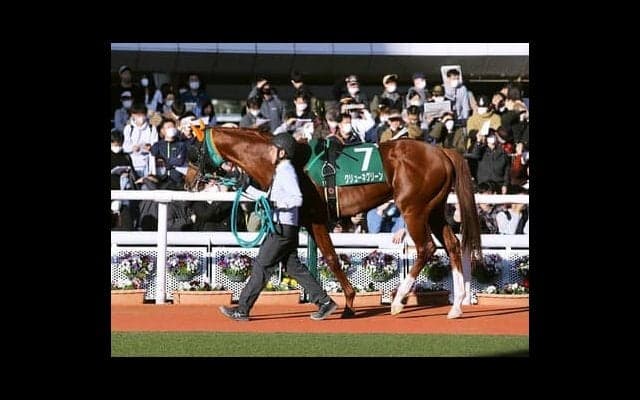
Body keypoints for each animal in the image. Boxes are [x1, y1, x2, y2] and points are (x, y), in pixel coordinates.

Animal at [185, 127, 482, 319]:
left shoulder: (315, 217)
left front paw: (347, 303)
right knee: (453, 245)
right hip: (434, 210)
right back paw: (456, 307)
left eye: (195, 150)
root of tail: (442, 151)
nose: (188, 182)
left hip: (414, 209)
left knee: (425, 248)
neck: (287, 162)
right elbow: (288, 260)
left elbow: (330, 257)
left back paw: (398, 302)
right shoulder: (300, 222)